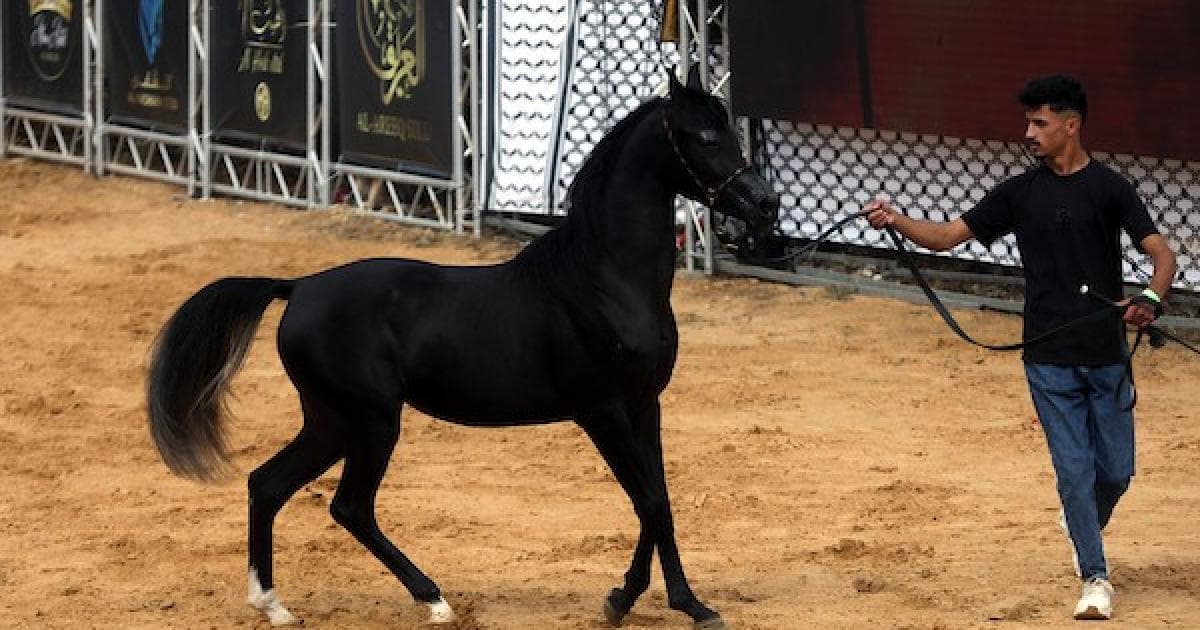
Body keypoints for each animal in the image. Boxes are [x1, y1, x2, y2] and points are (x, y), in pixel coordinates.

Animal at [146, 69, 779, 628]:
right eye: (704, 137)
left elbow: (658, 500)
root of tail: (297, 288)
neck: (601, 279)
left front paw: (661, 601)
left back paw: (275, 606)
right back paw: (433, 601)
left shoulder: (645, 406)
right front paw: (653, 603)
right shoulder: (601, 412)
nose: (765, 205)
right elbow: (647, 499)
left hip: (330, 421)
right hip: (370, 422)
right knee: (349, 507)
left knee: (268, 484)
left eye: (729, 128)